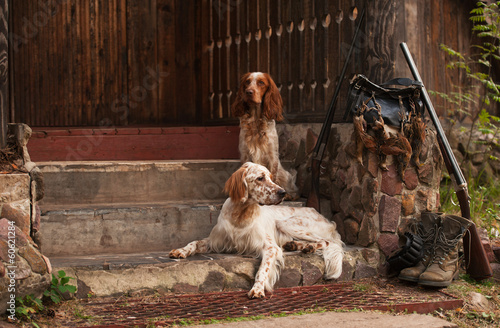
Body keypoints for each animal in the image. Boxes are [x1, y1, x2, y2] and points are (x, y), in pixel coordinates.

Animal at [169, 163, 344, 298]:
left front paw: (258, 288)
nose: (283, 193)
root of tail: (324, 216)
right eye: (260, 178)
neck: (240, 215)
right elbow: (194, 242)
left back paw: (309, 246)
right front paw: (180, 251)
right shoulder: (215, 242)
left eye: (271, 178)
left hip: (286, 223)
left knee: (329, 242)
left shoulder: (270, 247)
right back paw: (297, 246)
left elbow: (263, 269)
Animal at [232, 72, 298, 200]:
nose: (248, 92)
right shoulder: (245, 154)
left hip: (286, 175)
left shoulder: (272, 156)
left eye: (261, 83)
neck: (256, 121)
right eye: (247, 82)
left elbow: (273, 178)